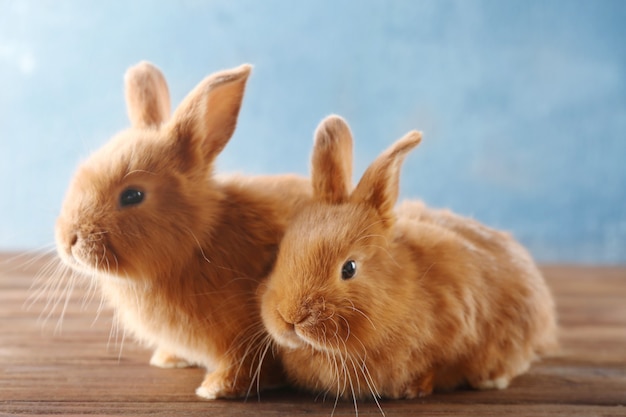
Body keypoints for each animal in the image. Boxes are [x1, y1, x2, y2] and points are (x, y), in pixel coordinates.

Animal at [54, 61, 310, 396]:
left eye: (132, 195)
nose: (68, 240)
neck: (199, 243)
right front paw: (167, 360)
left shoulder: (249, 337)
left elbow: (246, 363)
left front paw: (216, 388)